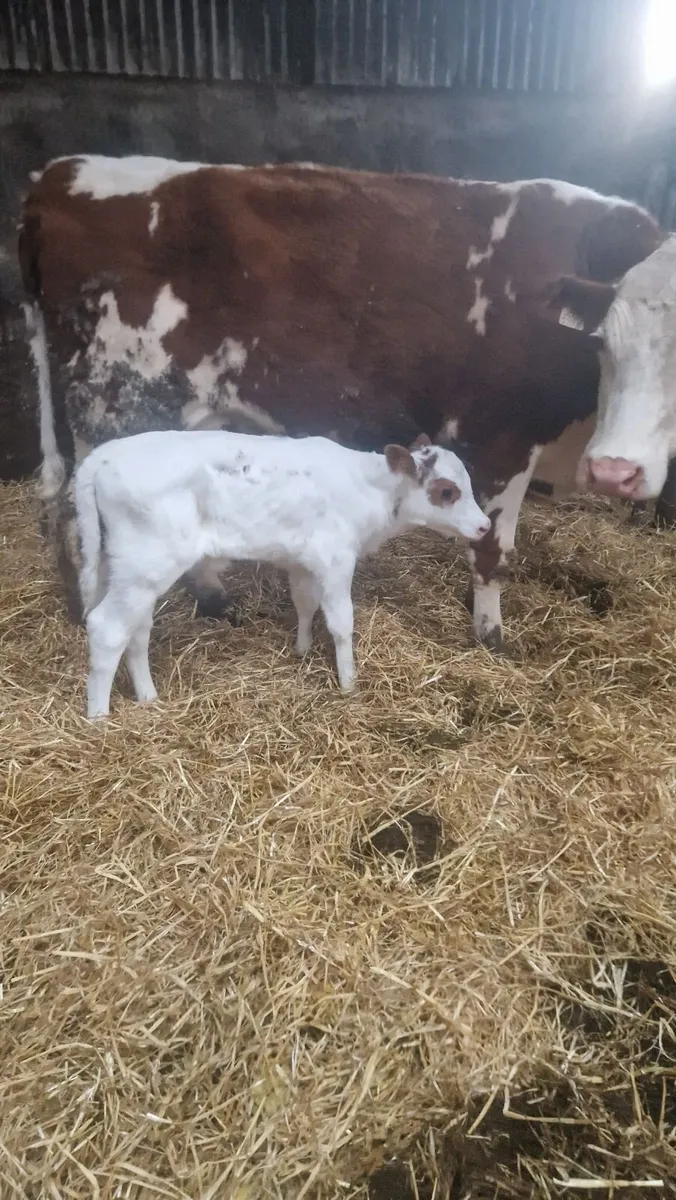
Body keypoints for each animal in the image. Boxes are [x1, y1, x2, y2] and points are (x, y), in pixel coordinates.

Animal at [19, 154, 668, 651]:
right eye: (605, 343)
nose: (616, 470)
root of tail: (59, 173)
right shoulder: (503, 436)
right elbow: (491, 547)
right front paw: (490, 635)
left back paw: (211, 597)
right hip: (115, 409)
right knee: (80, 522)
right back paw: (90, 616)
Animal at [73, 428, 489, 717]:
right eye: (447, 491)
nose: (485, 525)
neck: (370, 490)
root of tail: (103, 455)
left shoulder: (303, 561)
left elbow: (305, 603)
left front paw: (302, 649)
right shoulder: (337, 558)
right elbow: (342, 623)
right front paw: (349, 683)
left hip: (129, 568)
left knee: (136, 630)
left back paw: (148, 696)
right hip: (148, 563)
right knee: (108, 628)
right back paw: (99, 717)